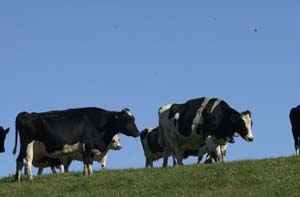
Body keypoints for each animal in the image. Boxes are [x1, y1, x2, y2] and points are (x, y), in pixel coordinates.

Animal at [13, 107, 141, 181]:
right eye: (127, 120)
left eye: (134, 119)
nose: (138, 133)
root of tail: (24, 114)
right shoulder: (87, 144)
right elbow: (88, 161)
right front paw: (90, 176)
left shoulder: (87, 148)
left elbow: (87, 162)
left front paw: (88, 175)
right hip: (28, 144)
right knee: (27, 161)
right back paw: (30, 178)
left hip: (23, 146)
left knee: (19, 160)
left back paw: (18, 179)